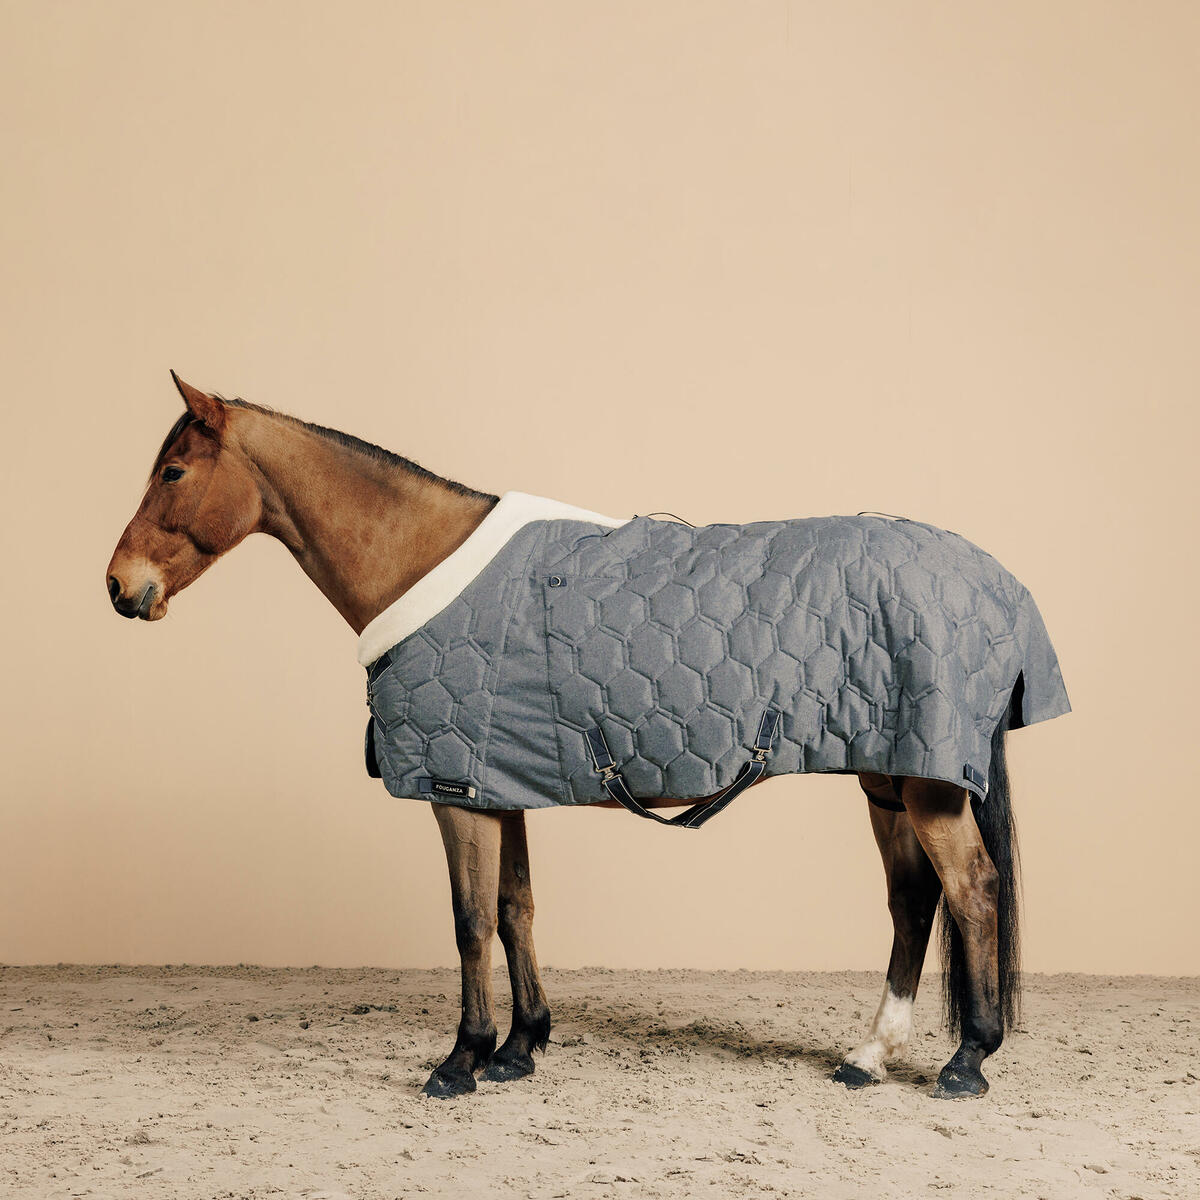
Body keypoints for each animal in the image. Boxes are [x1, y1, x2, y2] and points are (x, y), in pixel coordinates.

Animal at [106, 373, 1066, 1100]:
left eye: (174, 470)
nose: (121, 586)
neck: (426, 562)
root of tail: (999, 583)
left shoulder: (455, 791)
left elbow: (468, 921)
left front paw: (461, 1059)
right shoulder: (498, 783)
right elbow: (515, 909)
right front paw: (521, 1047)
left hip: (928, 785)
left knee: (973, 891)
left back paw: (966, 1060)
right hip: (886, 777)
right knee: (914, 901)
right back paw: (870, 1055)